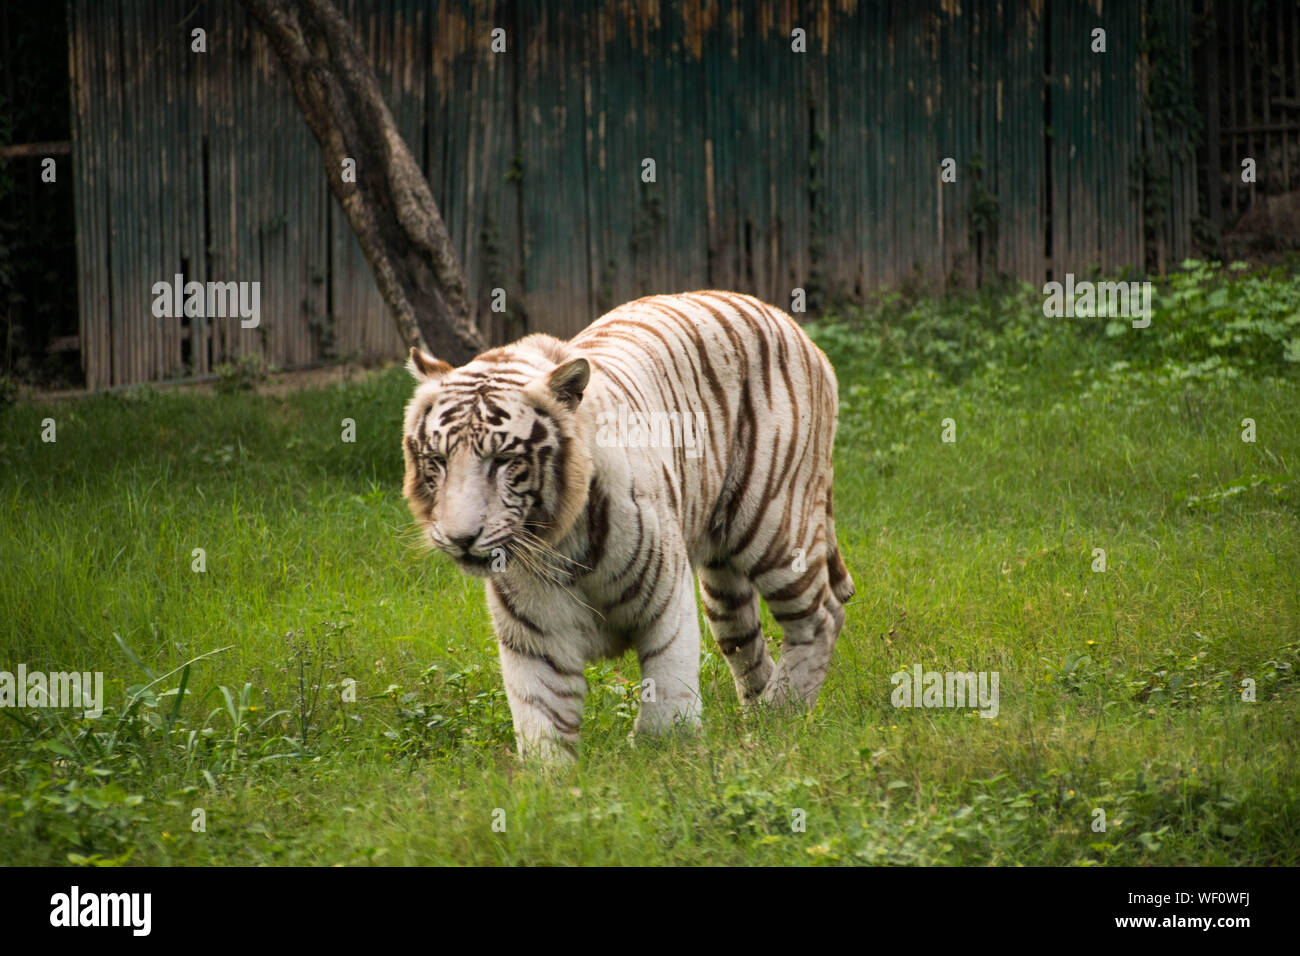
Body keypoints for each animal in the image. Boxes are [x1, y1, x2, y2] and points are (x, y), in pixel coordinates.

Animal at [403, 291, 852, 764]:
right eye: (438, 460)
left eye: (504, 460)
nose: (460, 538)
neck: (559, 542)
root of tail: (785, 319)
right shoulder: (535, 637)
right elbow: (542, 721)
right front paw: (548, 778)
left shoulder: (667, 603)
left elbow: (667, 699)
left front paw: (664, 757)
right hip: (722, 582)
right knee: (747, 645)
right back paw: (760, 725)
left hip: (774, 525)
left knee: (822, 616)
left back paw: (784, 713)